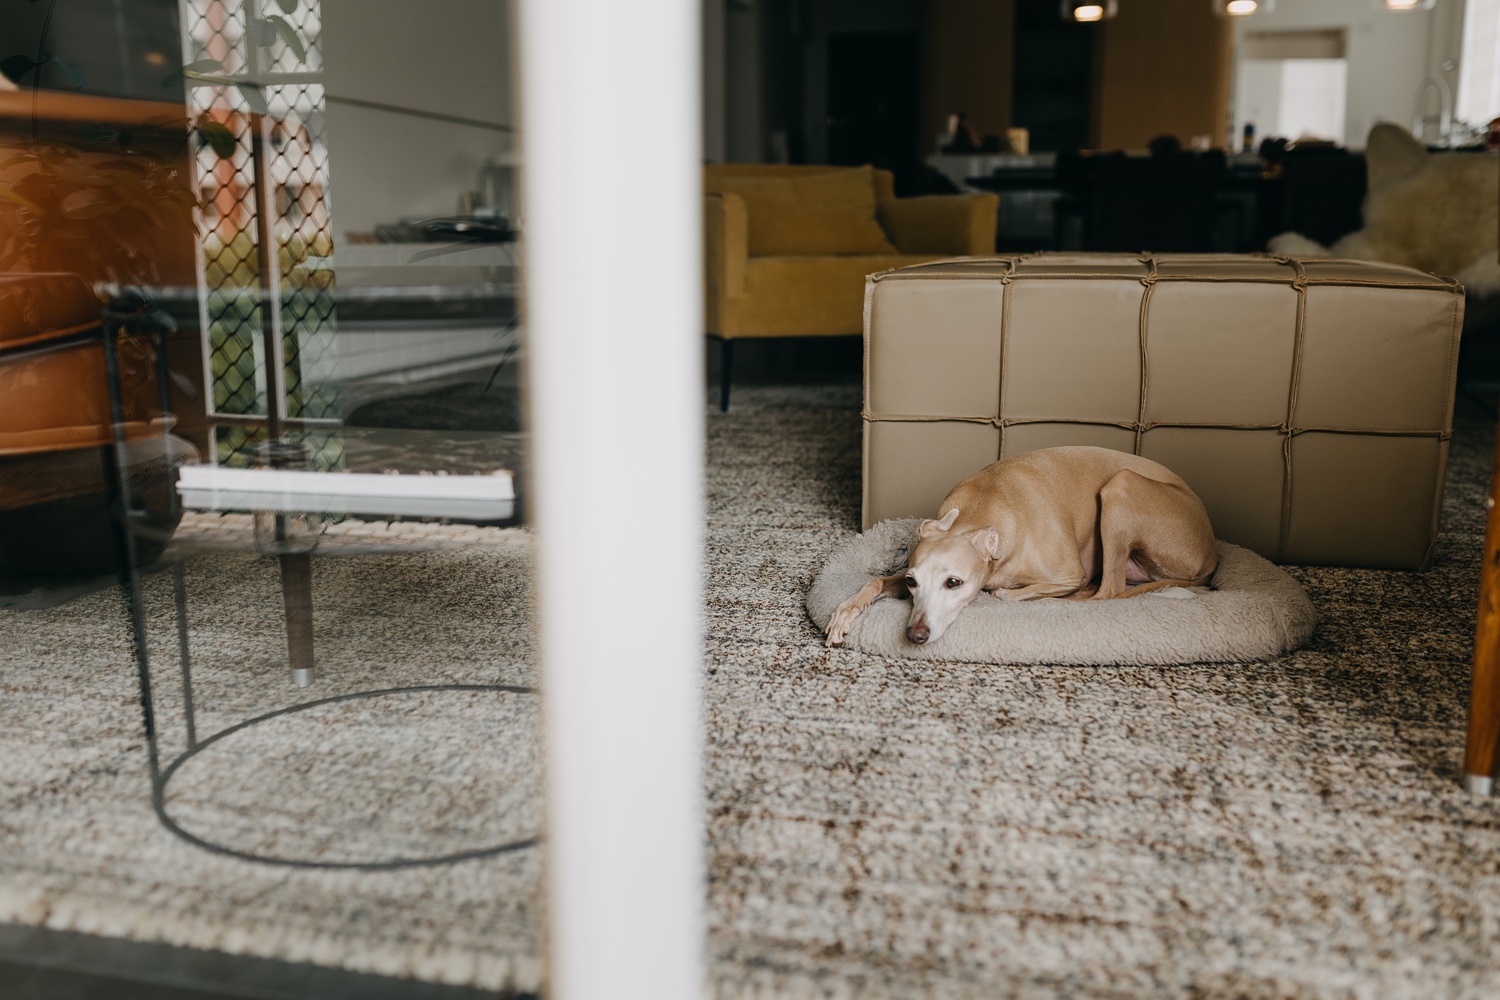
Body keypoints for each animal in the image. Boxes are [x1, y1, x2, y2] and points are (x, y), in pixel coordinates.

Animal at [822, 446, 1218, 650]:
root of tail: (1212, 550)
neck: (984, 504)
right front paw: (844, 613)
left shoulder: (1068, 572)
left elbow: (1003, 592)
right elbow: (875, 581)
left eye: (954, 583)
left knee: (1108, 590)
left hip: (1121, 486)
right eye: (912, 583)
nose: (915, 635)